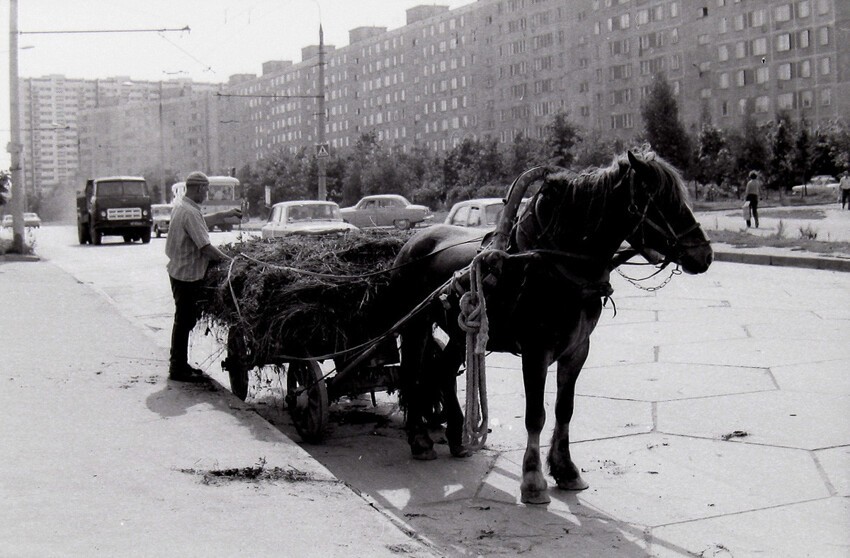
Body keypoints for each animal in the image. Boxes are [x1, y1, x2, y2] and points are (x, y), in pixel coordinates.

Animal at [390, 150, 708, 508]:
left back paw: (458, 437)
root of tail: (415, 239)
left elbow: (564, 409)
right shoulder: (535, 352)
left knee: (442, 371)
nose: (705, 254)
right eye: (662, 201)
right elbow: (535, 414)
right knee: (412, 374)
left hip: (461, 334)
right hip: (415, 326)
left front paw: (566, 469)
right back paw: (419, 440)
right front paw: (532, 479)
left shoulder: (577, 350)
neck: (555, 264)